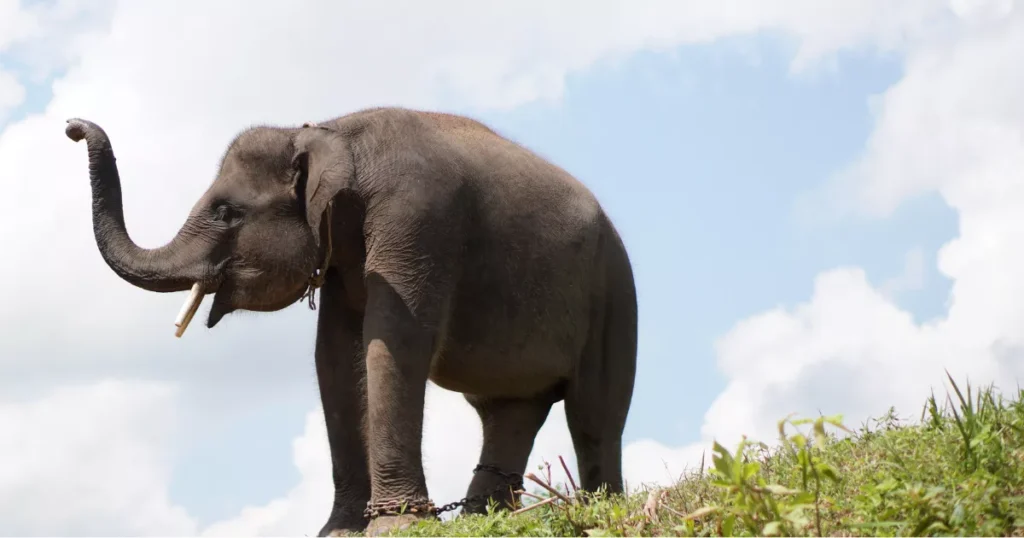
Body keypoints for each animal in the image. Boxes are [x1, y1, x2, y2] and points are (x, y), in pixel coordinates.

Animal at [64, 107, 634, 532]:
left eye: (227, 212)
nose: (71, 126)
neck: (325, 132)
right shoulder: (342, 251)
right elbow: (335, 354)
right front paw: (341, 531)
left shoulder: (418, 218)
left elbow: (394, 339)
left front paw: (397, 525)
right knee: (507, 410)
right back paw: (480, 518)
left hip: (614, 294)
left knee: (594, 415)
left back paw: (602, 506)